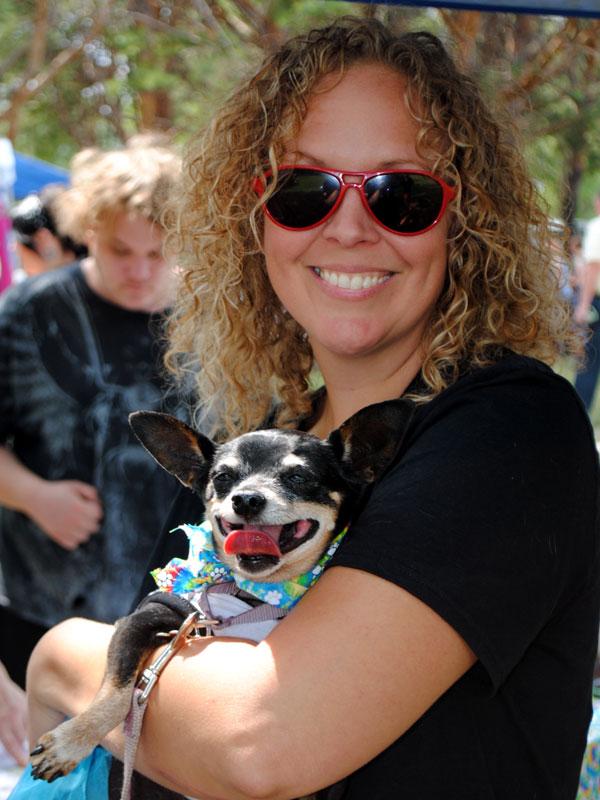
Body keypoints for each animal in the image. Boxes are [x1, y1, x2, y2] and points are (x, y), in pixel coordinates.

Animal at [28, 400, 412, 788]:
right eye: (223, 478)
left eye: (298, 477)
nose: (246, 499)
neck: (252, 595)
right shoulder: (148, 617)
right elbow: (117, 690)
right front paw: (70, 742)